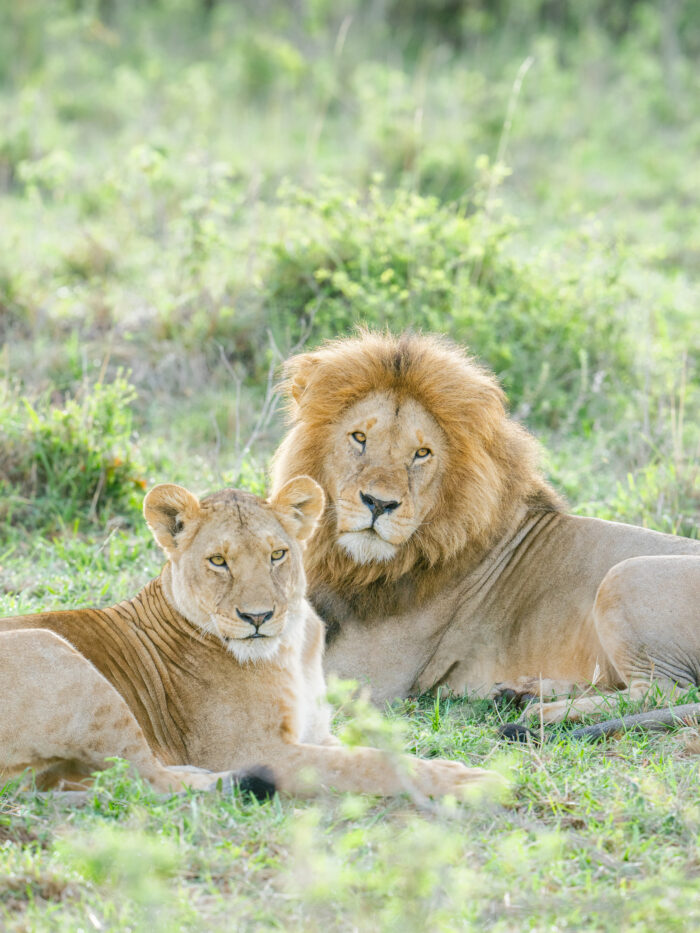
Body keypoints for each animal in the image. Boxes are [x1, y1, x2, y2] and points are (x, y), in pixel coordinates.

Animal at [0, 476, 492, 796]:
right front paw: (467, 780)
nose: (258, 616)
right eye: (218, 562)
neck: (292, 647)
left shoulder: (315, 734)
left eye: (277, 555)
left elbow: (373, 750)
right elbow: (367, 764)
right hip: (61, 657)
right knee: (146, 777)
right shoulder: (257, 749)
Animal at [270, 332, 700, 716]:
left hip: (624, 577)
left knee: (662, 692)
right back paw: (521, 692)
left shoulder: (367, 677)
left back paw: (538, 715)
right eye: (359, 437)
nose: (379, 504)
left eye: (422, 453)